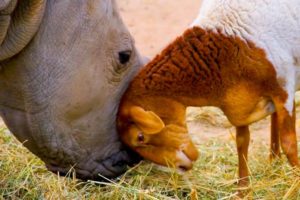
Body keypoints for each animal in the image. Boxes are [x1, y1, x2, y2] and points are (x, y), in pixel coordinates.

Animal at [117, 0, 300, 186]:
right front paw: (243, 189)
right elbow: (242, 143)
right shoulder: (239, 102)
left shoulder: (283, 89)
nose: (181, 167)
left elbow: (289, 144)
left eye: (140, 137)